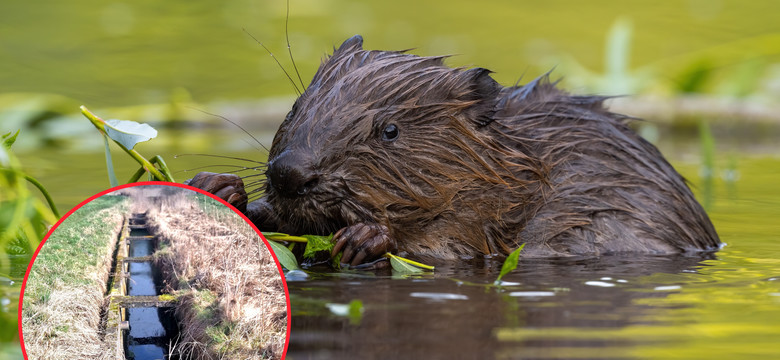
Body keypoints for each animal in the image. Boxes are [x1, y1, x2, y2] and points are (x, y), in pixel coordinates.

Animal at [189, 35, 720, 268]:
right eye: (297, 105)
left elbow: (460, 247)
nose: (290, 173)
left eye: (390, 130)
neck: (517, 169)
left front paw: (363, 238)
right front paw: (219, 188)